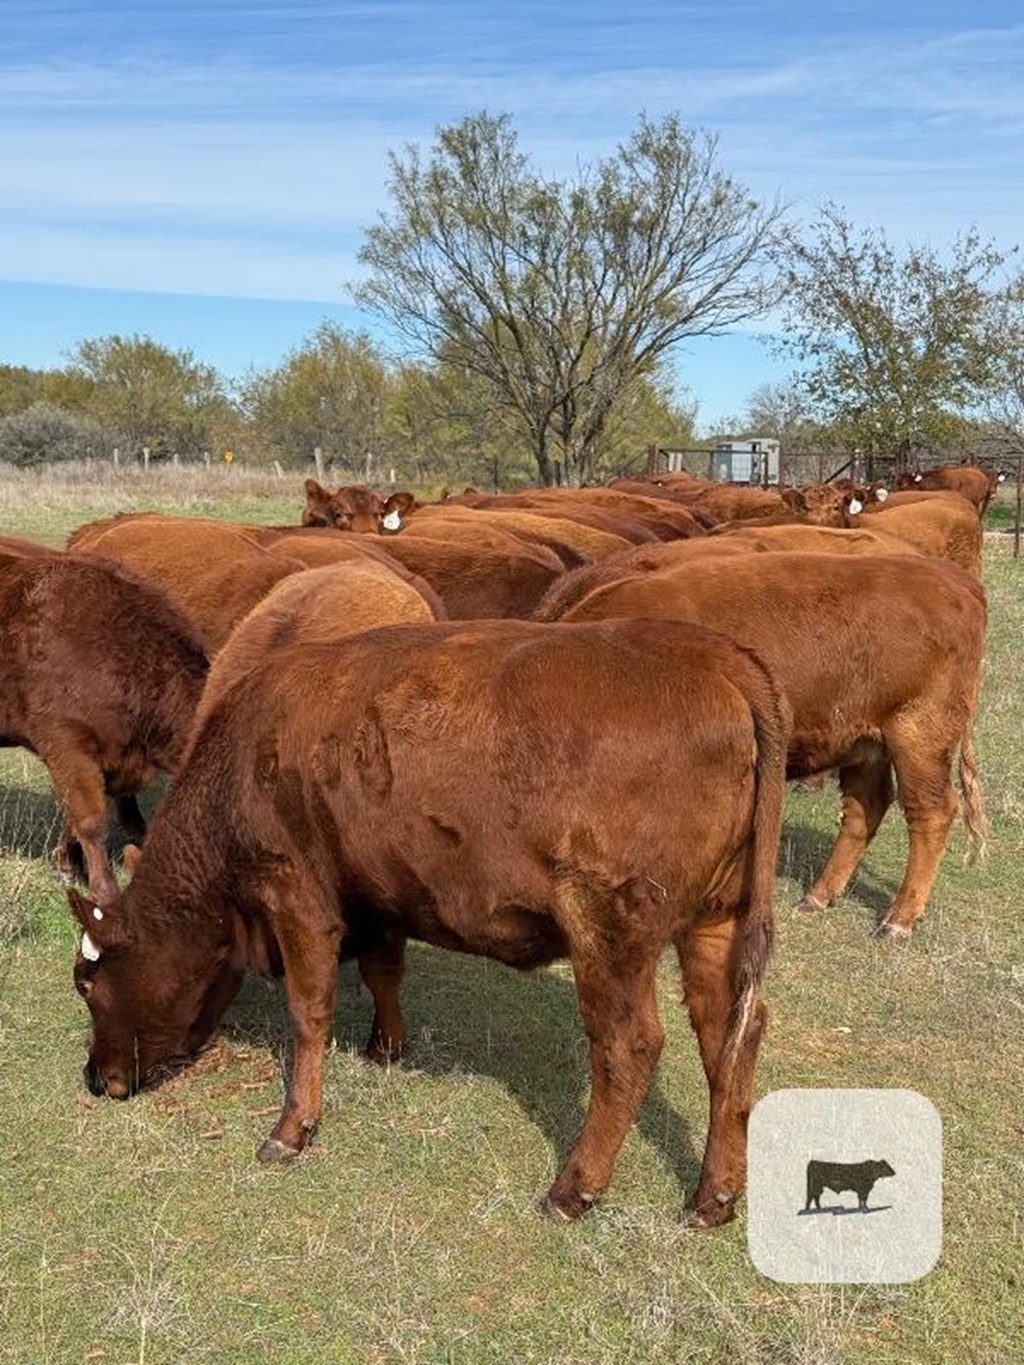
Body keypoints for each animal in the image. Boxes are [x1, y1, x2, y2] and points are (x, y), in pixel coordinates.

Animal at [68, 619, 791, 1228]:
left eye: (87, 983)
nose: (96, 1078)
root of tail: (706, 650)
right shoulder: (379, 893)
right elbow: (384, 970)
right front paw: (385, 1047)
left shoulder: (297, 896)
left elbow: (309, 1010)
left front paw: (292, 1128)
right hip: (715, 923)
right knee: (731, 1033)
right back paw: (712, 1196)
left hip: (609, 931)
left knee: (629, 1046)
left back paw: (572, 1189)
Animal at [562, 548, 988, 933]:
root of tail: (954, 579)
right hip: (867, 744)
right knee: (865, 807)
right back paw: (818, 896)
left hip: (919, 737)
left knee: (931, 813)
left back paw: (898, 920)